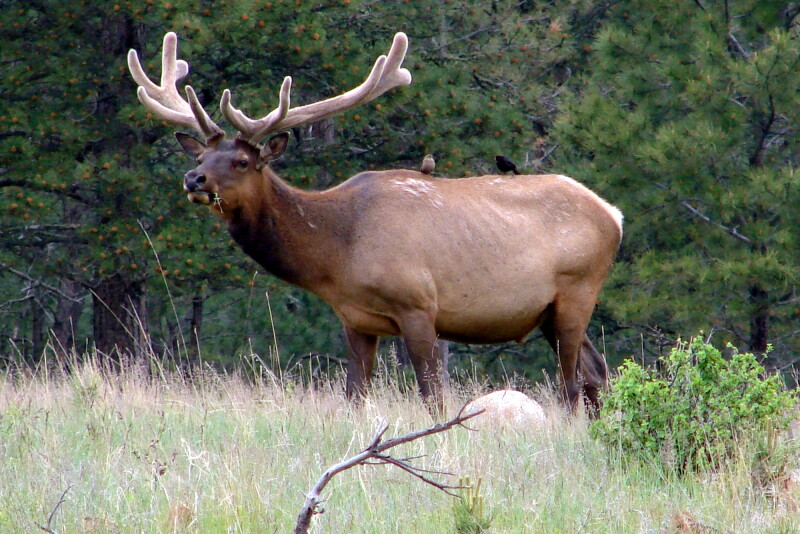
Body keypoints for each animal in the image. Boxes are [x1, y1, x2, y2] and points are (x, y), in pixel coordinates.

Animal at [128, 32, 623, 414]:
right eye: (201, 157)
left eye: (243, 161)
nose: (193, 178)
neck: (338, 254)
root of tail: (613, 214)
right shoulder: (356, 320)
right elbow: (354, 396)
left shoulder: (418, 304)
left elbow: (432, 397)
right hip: (547, 313)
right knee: (595, 373)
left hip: (578, 290)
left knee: (572, 384)